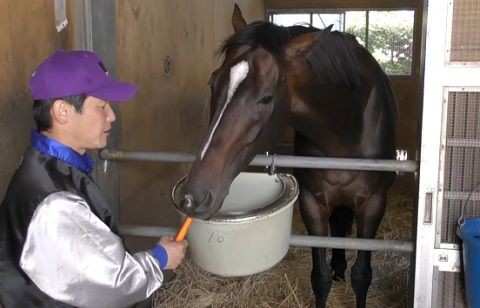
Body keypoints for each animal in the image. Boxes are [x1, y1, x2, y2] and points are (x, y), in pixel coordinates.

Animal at [180, 4, 398, 308]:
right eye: (213, 82)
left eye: (266, 97)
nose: (194, 197)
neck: (347, 128)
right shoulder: (312, 202)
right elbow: (320, 278)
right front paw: (331, 272)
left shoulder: (374, 204)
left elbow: (362, 276)